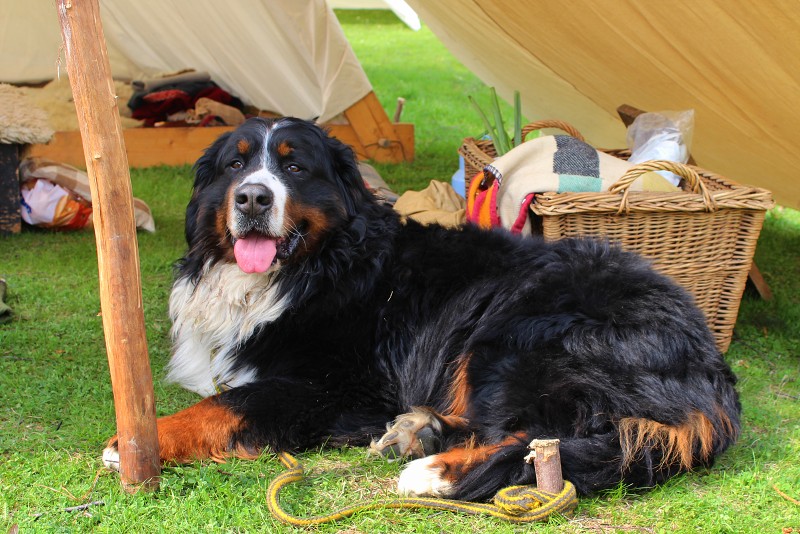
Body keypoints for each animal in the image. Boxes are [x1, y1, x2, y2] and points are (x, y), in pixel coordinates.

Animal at [103, 117, 740, 502]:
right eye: (235, 166)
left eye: (294, 167)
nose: (253, 198)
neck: (319, 267)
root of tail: (709, 368)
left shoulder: (342, 386)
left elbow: (228, 403)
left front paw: (141, 442)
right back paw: (421, 432)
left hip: (513, 335)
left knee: (551, 437)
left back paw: (435, 469)